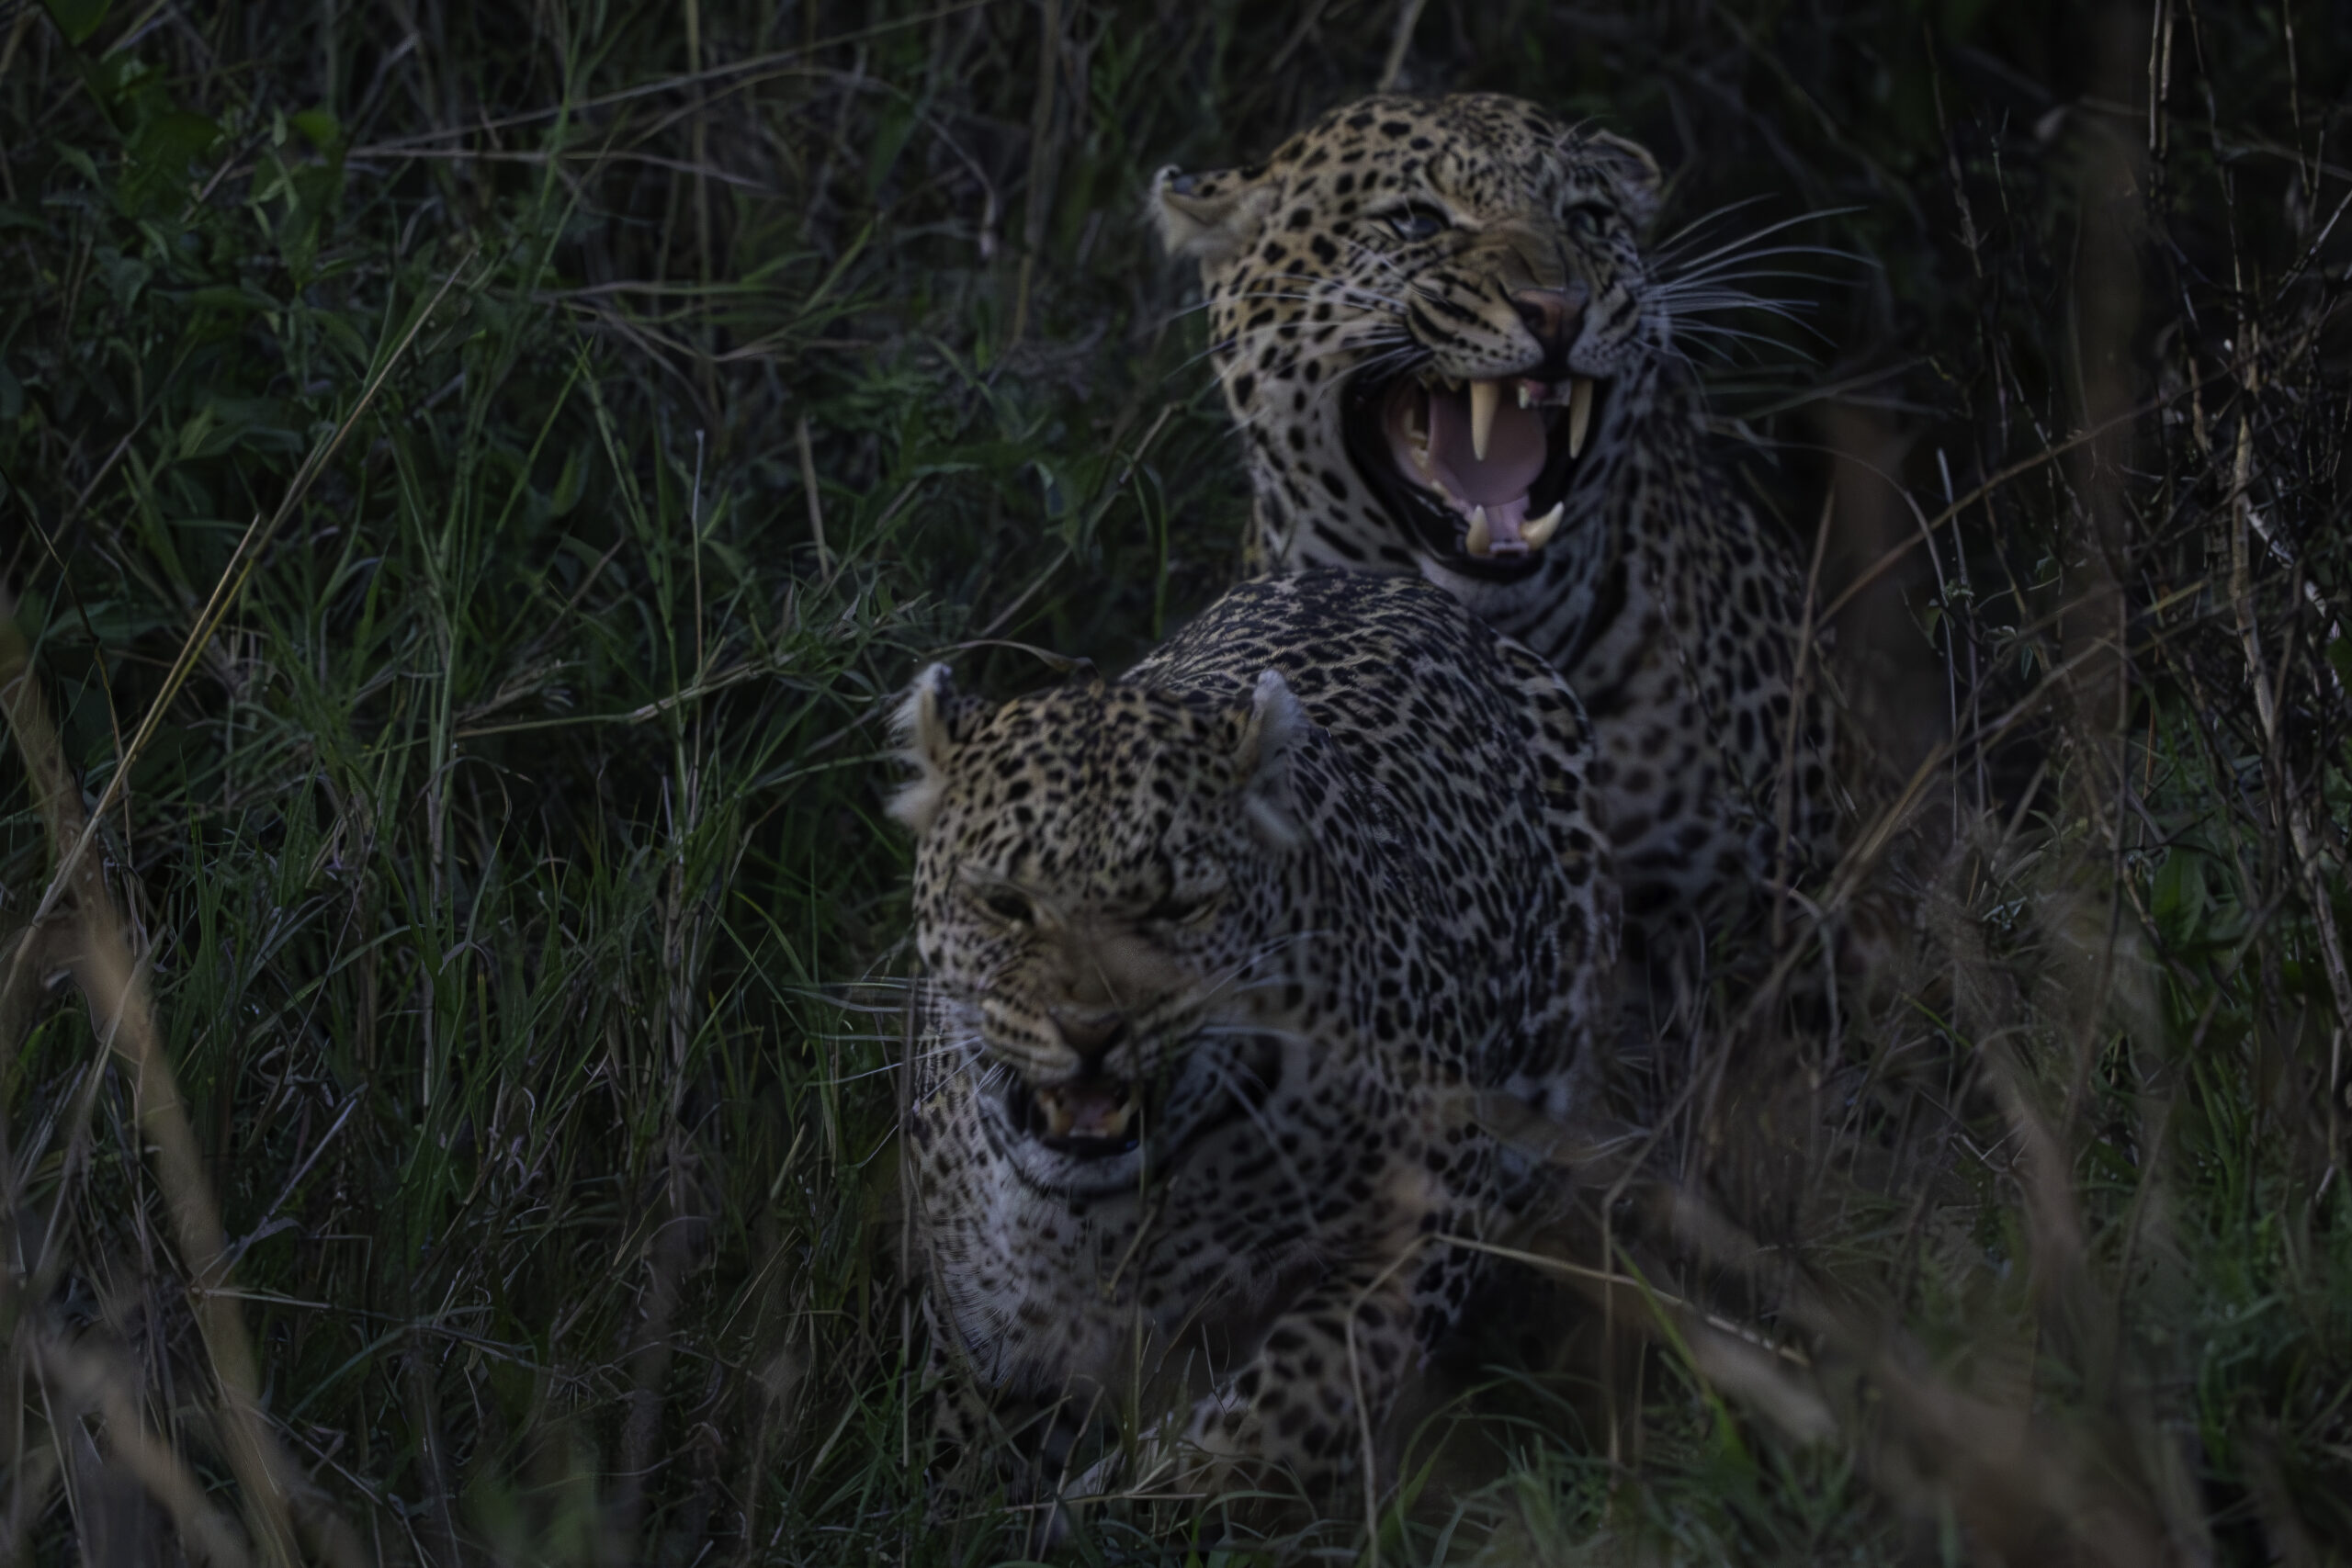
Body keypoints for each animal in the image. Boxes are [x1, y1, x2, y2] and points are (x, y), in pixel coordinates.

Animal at [890, 570, 1618, 1514]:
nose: (1091, 1028)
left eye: (1182, 906)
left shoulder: (1440, 1194)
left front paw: (1129, 1502)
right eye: (1006, 902)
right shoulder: (983, 1322)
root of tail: (1384, 580)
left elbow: (1292, 1401)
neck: (1107, 1224)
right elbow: (959, 1453)